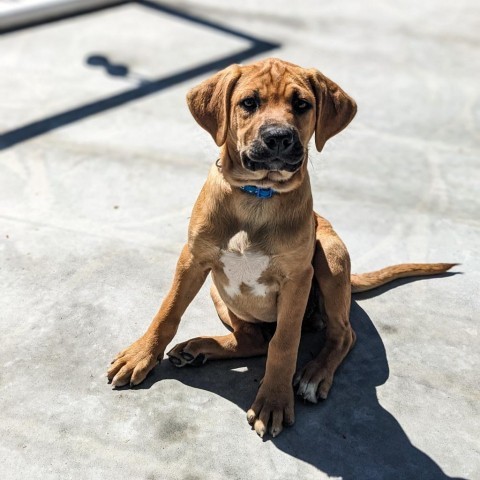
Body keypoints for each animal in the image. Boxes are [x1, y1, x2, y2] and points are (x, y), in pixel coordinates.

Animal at [107, 57, 456, 438]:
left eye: (301, 105)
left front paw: (274, 399)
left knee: (342, 333)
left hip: (331, 257)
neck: (258, 196)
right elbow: (168, 311)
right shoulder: (193, 260)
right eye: (249, 103)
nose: (278, 137)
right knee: (253, 339)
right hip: (219, 291)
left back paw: (314, 375)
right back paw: (199, 349)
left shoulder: (297, 279)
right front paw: (141, 354)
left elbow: (285, 342)